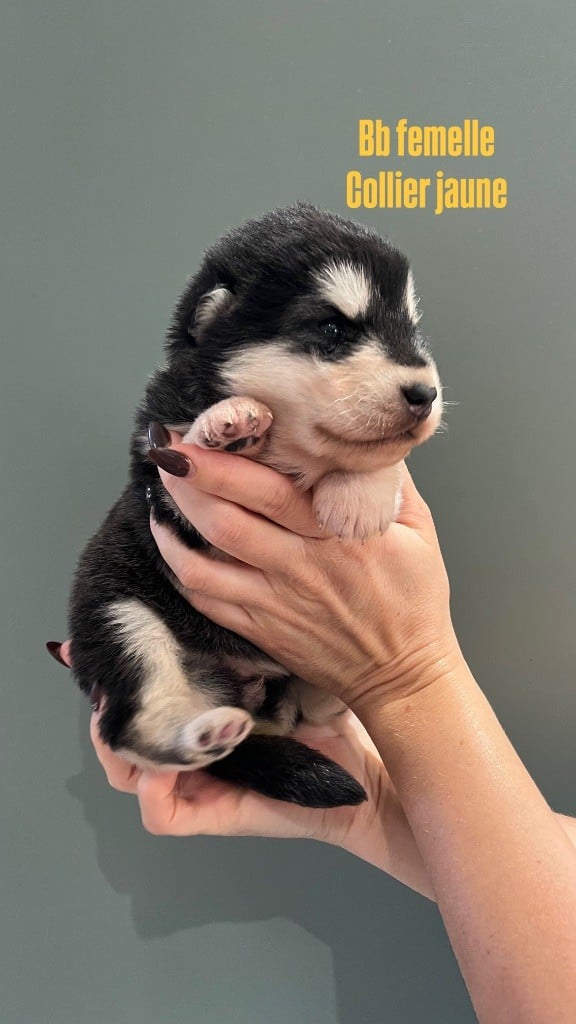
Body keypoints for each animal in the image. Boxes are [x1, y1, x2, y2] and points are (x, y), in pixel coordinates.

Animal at [69, 201, 440, 806]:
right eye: (333, 328)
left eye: (410, 329)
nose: (426, 394)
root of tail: (249, 696)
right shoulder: (163, 479)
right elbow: (191, 437)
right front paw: (228, 420)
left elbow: (377, 456)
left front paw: (358, 496)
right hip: (118, 614)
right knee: (127, 727)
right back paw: (204, 735)